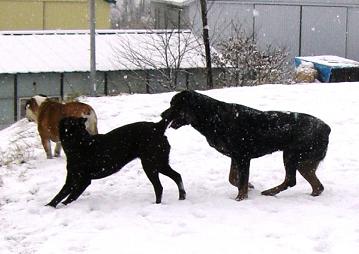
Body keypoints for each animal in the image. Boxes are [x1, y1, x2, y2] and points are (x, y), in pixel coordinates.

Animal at [46, 117, 187, 208]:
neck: (80, 142)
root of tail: (157, 126)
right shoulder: (73, 179)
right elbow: (64, 194)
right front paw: (51, 206)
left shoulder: (82, 180)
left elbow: (67, 196)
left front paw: (56, 206)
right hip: (159, 163)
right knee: (177, 176)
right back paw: (181, 197)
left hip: (151, 164)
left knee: (159, 186)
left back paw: (157, 205)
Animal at [162, 90, 332, 201]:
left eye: (175, 105)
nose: (162, 115)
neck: (211, 117)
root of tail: (327, 128)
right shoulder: (235, 157)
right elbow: (233, 178)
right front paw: (247, 186)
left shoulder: (243, 156)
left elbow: (241, 180)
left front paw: (240, 198)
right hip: (304, 161)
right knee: (317, 186)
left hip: (292, 155)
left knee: (291, 180)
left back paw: (270, 192)